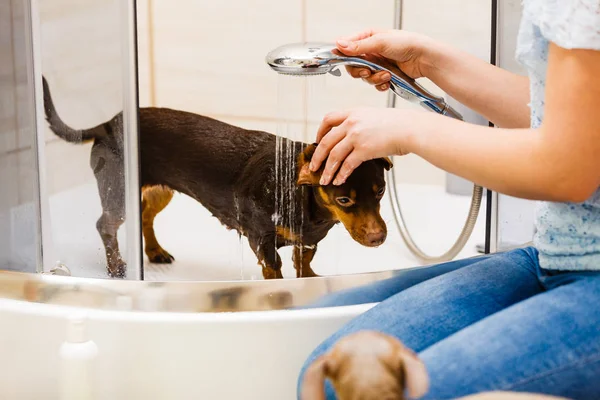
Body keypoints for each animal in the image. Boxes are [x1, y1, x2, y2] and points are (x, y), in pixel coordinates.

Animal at [39, 76, 392, 280]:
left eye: (381, 191)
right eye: (344, 199)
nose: (379, 238)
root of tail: (107, 125)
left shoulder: (309, 239)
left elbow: (304, 262)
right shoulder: (260, 238)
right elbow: (275, 270)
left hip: (158, 190)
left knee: (146, 216)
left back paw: (154, 252)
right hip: (119, 190)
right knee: (106, 225)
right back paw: (116, 268)